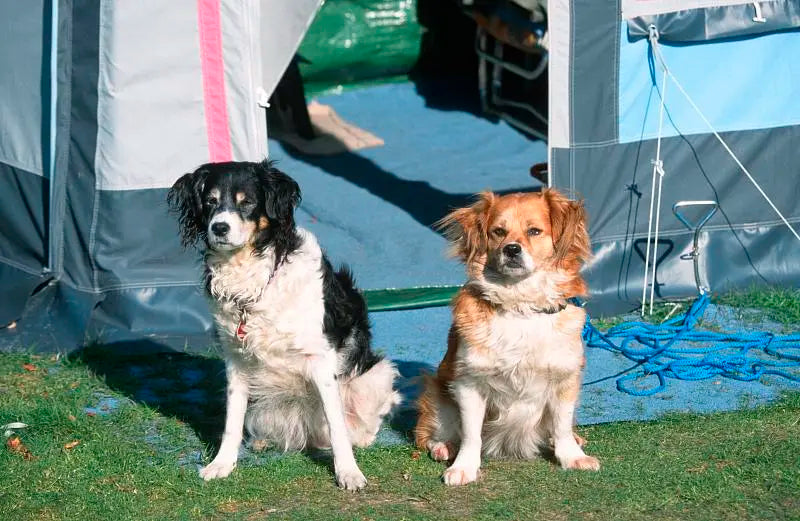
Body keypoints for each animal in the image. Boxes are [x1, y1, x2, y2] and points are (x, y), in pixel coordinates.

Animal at [171, 158, 404, 488]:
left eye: (248, 202)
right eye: (210, 201)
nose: (219, 228)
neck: (252, 274)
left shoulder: (321, 359)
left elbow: (337, 425)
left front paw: (348, 472)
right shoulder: (236, 359)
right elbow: (232, 420)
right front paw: (222, 464)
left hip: (376, 375)